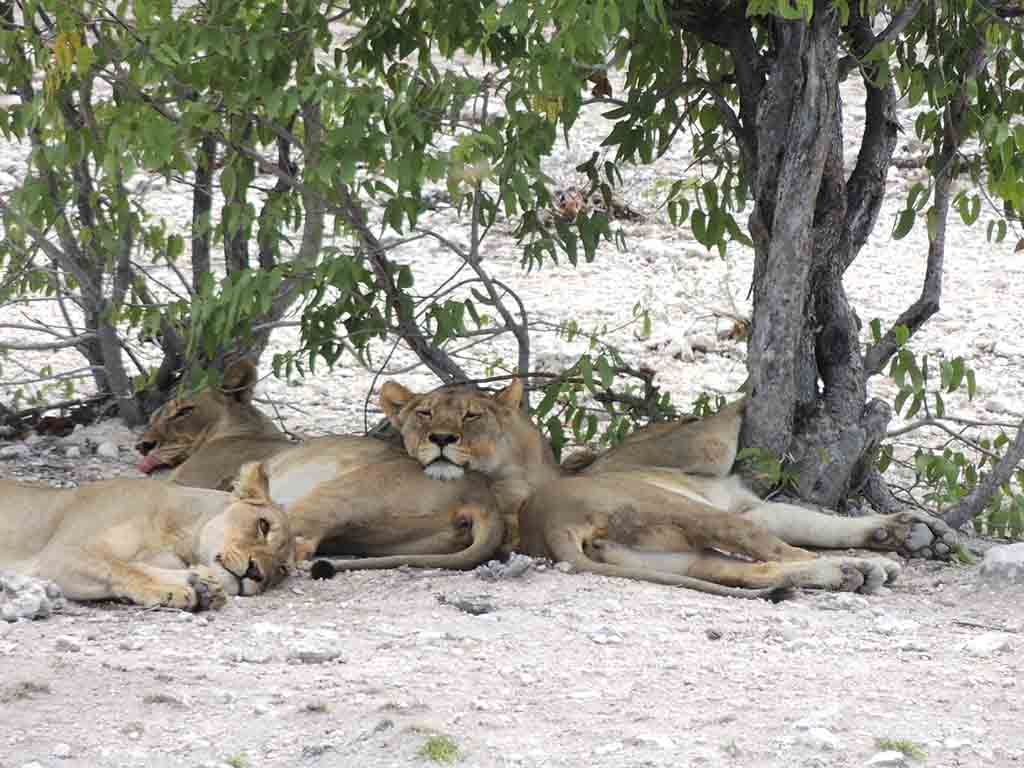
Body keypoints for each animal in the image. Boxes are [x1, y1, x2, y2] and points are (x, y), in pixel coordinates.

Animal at [1, 462, 296, 614]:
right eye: (263, 525)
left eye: (281, 569)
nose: (256, 573)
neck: (176, 536)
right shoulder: (61, 554)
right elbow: (123, 569)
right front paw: (170, 590)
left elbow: (135, 565)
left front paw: (203, 585)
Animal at [303, 380, 958, 602]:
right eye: (424, 416)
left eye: (468, 416)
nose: (438, 439)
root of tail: (554, 528)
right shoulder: (700, 455)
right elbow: (723, 421)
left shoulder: (744, 500)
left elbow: (818, 521)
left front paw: (906, 531)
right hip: (677, 515)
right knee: (774, 555)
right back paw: (861, 570)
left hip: (676, 554)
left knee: (758, 567)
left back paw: (861, 565)